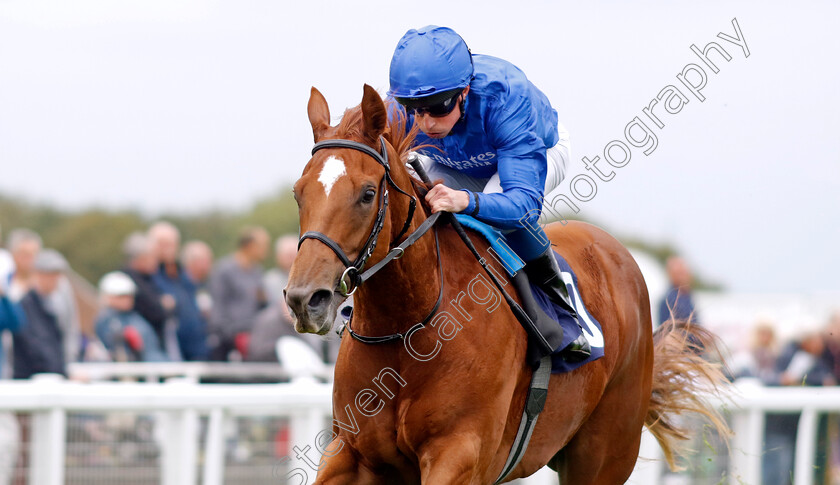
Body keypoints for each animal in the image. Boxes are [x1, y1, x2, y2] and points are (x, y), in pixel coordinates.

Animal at [284, 85, 728, 482]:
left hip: (604, 454)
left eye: (366, 193)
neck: (407, 330)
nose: (305, 300)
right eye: (298, 193)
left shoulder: (459, 454)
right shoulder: (351, 452)